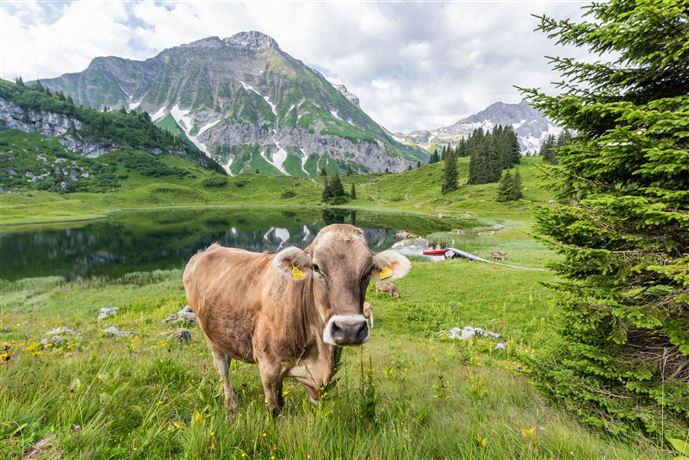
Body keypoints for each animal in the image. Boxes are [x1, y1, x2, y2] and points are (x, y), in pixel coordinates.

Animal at [181, 225, 408, 416]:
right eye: (316, 267)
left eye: (368, 270)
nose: (349, 329)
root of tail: (211, 249)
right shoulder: (268, 369)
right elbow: (274, 410)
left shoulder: (320, 381)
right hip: (209, 334)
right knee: (223, 368)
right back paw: (231, 405)